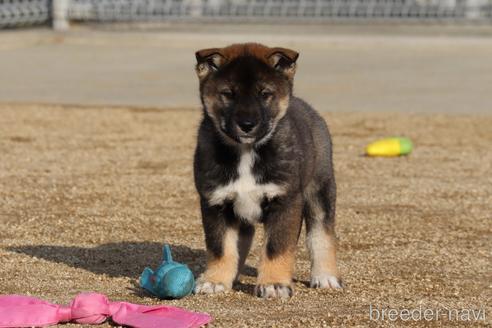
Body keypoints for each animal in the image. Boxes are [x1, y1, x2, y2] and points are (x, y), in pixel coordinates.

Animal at [194, 42, 340, 298]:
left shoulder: (286, 201)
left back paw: (325, 276)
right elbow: (221, 247)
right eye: (228, 94)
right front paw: (215, 280)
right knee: (243, 239)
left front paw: (274, 283)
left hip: (319, 189)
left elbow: (276, 247)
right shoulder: (215, 202)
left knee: (321, 234)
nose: (247, 125)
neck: (246, 152)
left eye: (265, 94)